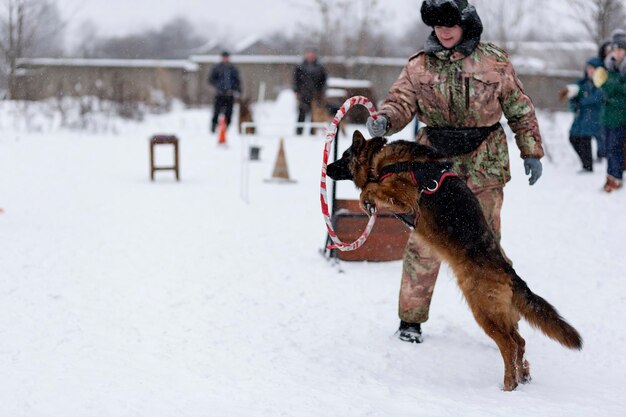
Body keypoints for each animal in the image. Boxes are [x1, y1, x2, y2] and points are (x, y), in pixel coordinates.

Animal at [326, 131, 580, 390]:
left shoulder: (403, 199)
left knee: (509, 346)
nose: (327, 168)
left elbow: (369, 189)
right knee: (520, 342)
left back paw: (508, 385)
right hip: (500, 315)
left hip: (484, 311)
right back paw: (524, 377)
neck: (381, 159)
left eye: (345, 156)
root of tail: (508, 271)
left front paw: (366, 200)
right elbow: (370, 188)